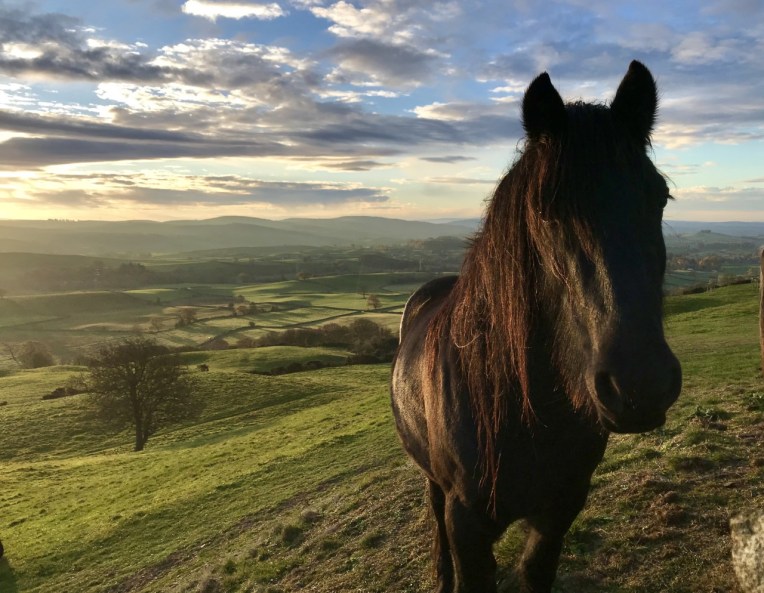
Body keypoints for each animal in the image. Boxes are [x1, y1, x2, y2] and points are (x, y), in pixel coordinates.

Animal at [390, 61, 682, 593]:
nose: (640, 385)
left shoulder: (560, 510)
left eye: (660, 197)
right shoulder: (468, 527)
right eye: (545, 210)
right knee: (433, 509)